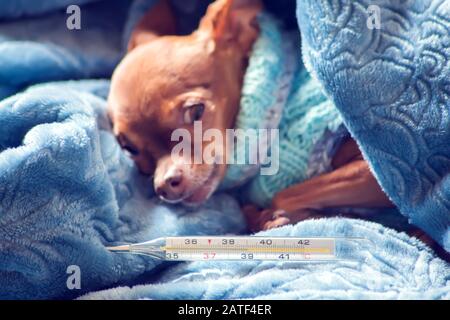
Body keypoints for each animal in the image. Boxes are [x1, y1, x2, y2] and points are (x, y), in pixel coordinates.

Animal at [108, 0, 394, 231]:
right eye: (129, 149)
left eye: (197, 110)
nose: (164, 185)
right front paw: (263, 218)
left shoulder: (376, 174)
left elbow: (282, 196)